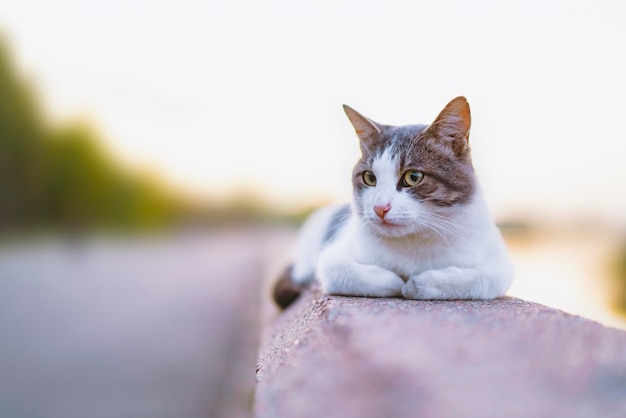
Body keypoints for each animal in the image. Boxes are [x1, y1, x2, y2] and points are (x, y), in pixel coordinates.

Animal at [272, 96, 512, 308]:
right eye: (369, 178)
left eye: (413, 177)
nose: (380, 208)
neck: (414, 241)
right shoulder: (333, 256)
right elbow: (341, 271)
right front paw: (398, 283)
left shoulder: (499, 264)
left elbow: (482, 279)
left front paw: (418, 284)